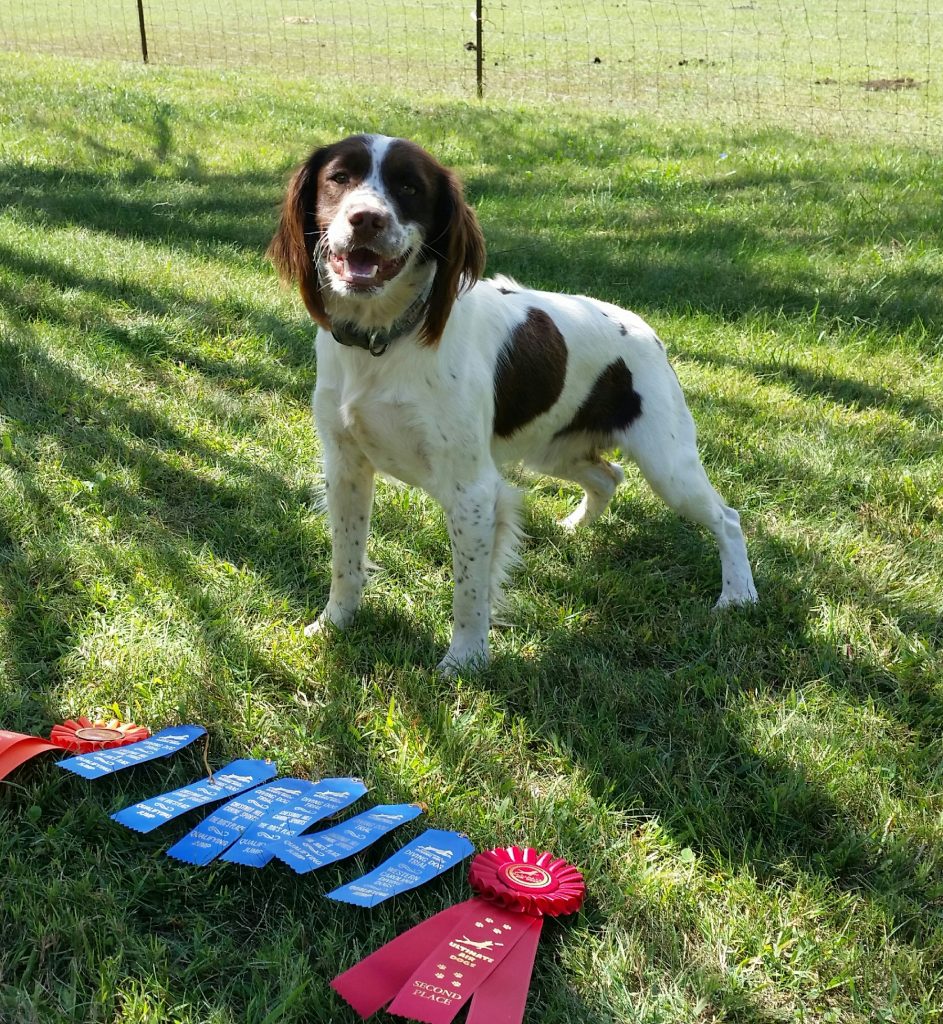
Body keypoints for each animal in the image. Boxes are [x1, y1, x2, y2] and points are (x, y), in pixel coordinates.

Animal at [270, 136, 757, 675]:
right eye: (339, 178)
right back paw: (573, 527)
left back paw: (738, 596)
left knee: (727, 518)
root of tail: (645, 330)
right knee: (609, 475)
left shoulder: (473, 490)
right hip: (555, 451)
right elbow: (347, 561)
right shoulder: (346, 468)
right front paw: (334, 625)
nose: (366, 220)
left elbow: (470, 591)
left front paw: (464, 661)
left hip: (668, 467)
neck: (384, 341)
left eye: (409, 187)